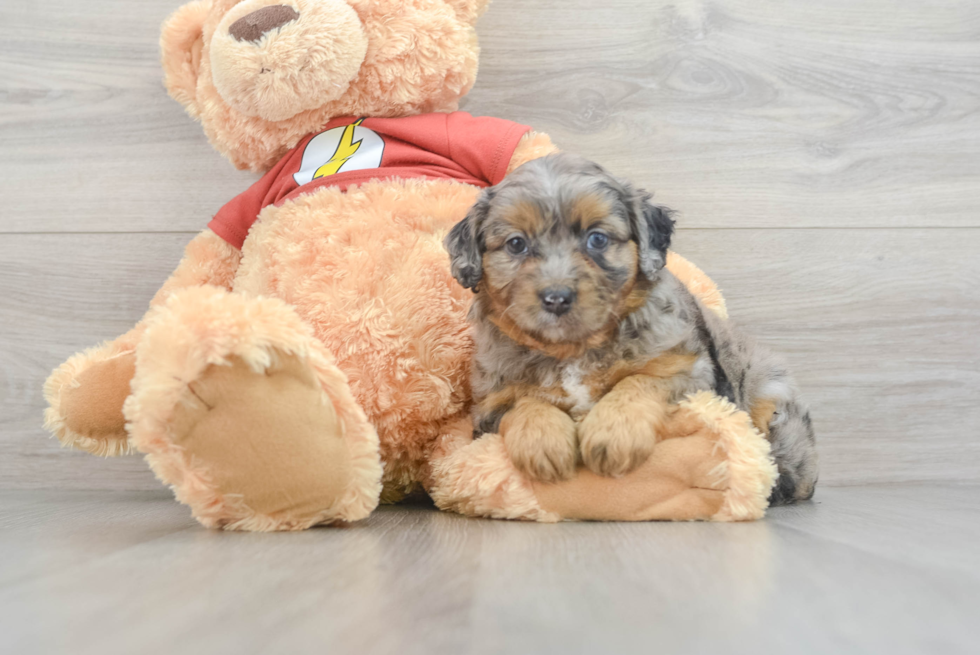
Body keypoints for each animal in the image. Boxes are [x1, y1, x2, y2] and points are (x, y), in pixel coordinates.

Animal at [448, 154, 816, 508]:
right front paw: (543, 442)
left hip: (770, 396)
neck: (573, 349)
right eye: (516, 244)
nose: (556, 298)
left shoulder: (691, 372)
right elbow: (525, 402)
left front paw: (612, 434)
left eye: (597, 239)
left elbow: (638, 381)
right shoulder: (489, 405)